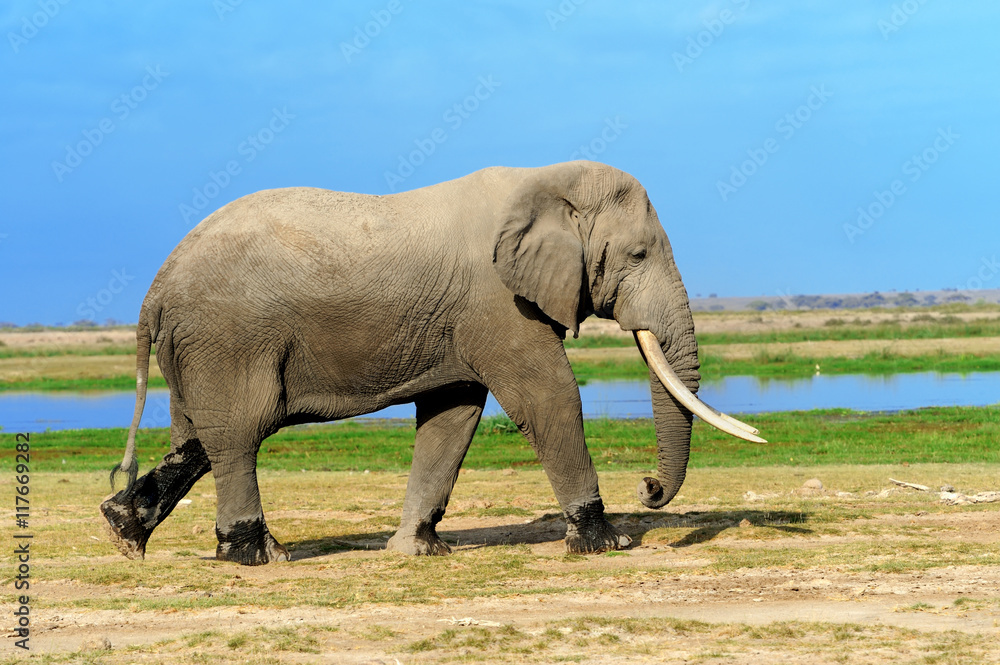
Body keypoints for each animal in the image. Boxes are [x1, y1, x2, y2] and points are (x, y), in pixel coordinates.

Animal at [100, 160, 763, 566]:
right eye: (639, 254)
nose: (648, 487)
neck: (541, 179)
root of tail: (157, 285)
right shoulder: (497, 301)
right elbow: (548, 394)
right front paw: (608, 543)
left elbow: (454, 413)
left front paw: (415, 550)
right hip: (228, 338)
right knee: (238, 434)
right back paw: (259, 557)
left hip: (198, 347)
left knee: (198, 438)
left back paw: (124, 530)